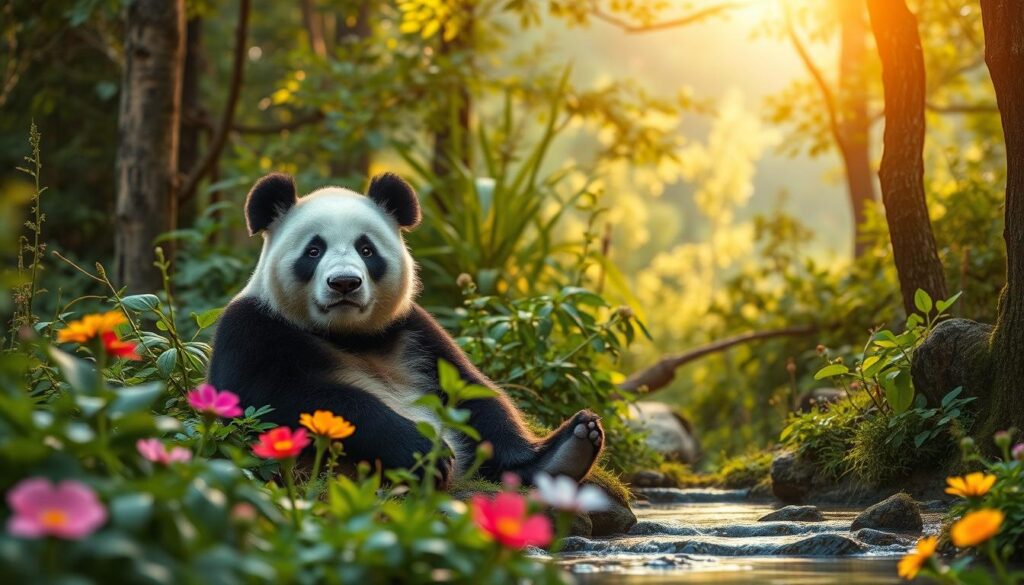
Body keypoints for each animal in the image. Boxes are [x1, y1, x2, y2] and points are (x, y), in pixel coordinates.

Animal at [208, 172, 604, 488]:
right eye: (314, 250)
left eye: (366, 249)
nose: (344, 283)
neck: (344, 334)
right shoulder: (252, 327)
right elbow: (280, 395)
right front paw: (423, 452)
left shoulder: (412, 330)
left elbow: (472, 391)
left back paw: (567, 451)